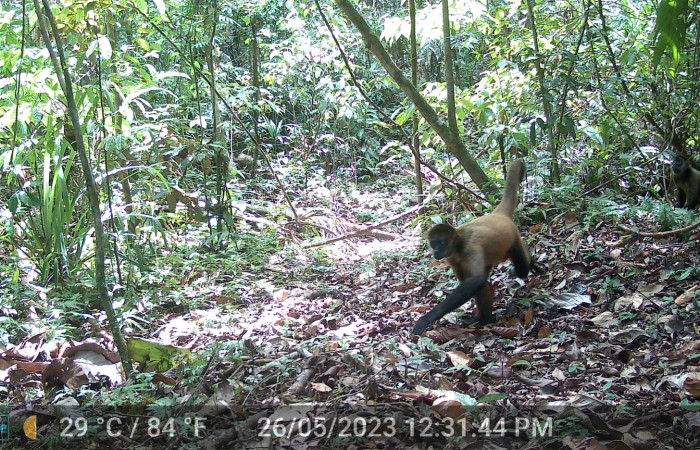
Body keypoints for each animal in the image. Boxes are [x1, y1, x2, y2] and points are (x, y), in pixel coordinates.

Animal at [413, 159, 538, 335]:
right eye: (433, 243)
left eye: (442, 243)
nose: (436, 251)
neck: (458, 244)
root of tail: (497, 214)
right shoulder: (451, 258)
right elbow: (473, 282)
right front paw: (482, 318)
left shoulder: (470, 248)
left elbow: (475, 281)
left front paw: (427, 318)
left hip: (512, 235)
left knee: (521, 269)